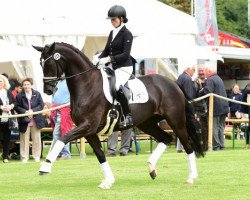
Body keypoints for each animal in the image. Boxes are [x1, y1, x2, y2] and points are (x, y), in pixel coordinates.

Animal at [33, 42, 205, 189]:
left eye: (48, 64)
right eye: (40, 64)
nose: (48, 90)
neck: (87, 85)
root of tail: (172, 83)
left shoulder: (88, 125)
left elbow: (63, 138)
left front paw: (45, 166)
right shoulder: (89, 131)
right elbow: (100, 154)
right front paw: (108, 181)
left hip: (176, 121)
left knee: (188, 146)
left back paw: (191, 178)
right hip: (147, 123)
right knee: (166, 138)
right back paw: (151, 168)